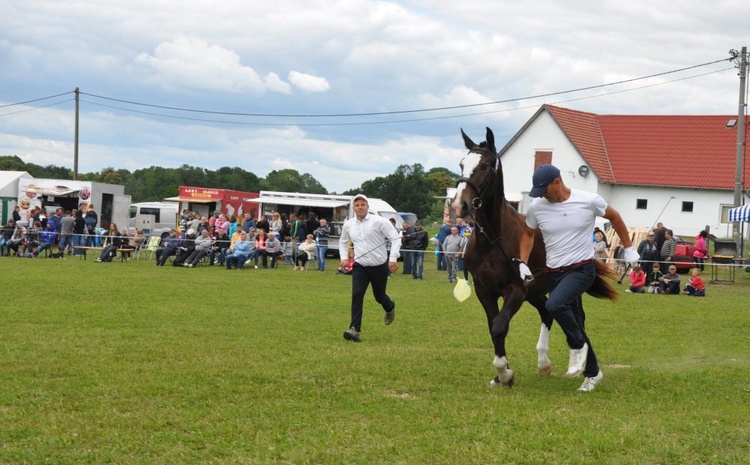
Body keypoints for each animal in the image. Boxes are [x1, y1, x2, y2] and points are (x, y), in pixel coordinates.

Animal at [452, 128, 616, 388]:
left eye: (485, 165)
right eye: (461, 164)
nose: (460, 204)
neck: (493, 240)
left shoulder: (516, 290)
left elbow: (499, 326)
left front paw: (504, 373)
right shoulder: (484, 290)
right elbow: (493, 326)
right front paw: (502, 375)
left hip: (564, 291)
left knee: (577, 320)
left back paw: (584, 369)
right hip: (536, 291)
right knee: (548, 313)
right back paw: (544, 363)